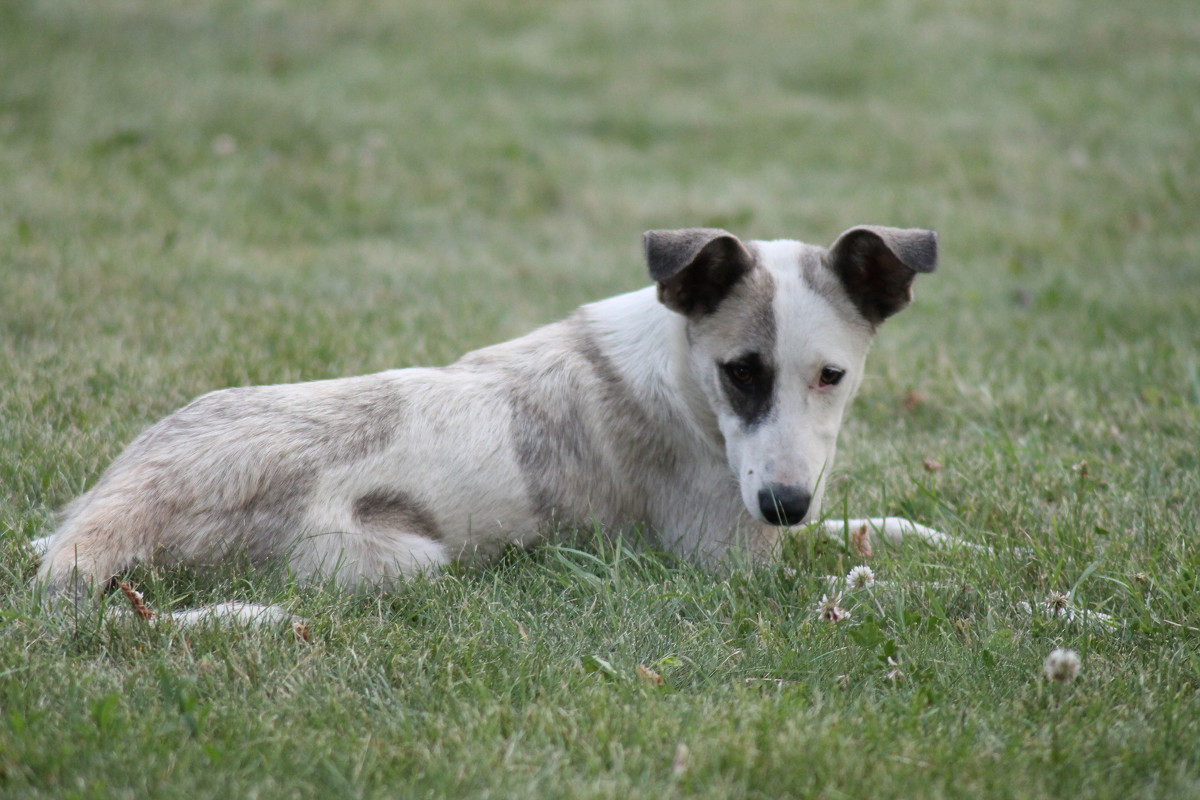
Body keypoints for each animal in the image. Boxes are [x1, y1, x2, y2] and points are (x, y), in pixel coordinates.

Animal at [35, 221, 964, 604]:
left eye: (831, 376)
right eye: (742, 373)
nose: (783, 503)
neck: (679, 378)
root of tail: (117, 511)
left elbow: (879, 527)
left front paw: (956, 544)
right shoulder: (730, 560)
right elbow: (859, 572)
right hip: (400, 559)